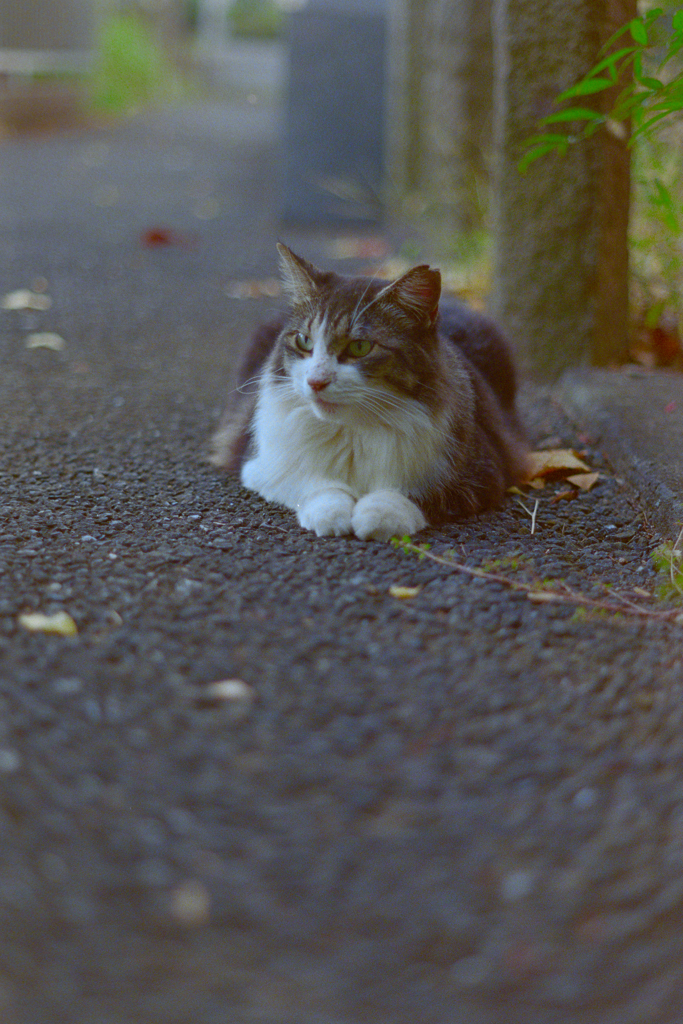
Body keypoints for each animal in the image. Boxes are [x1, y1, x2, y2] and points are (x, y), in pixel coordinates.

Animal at [210, 242, 532, 540]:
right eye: (303, 341)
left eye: (360, 347)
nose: (316, 381)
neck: (352, 431)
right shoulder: (259, 465)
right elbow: (314, 484)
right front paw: (332, 514)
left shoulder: (484, 473)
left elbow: (413, 494)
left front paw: (378, 514)